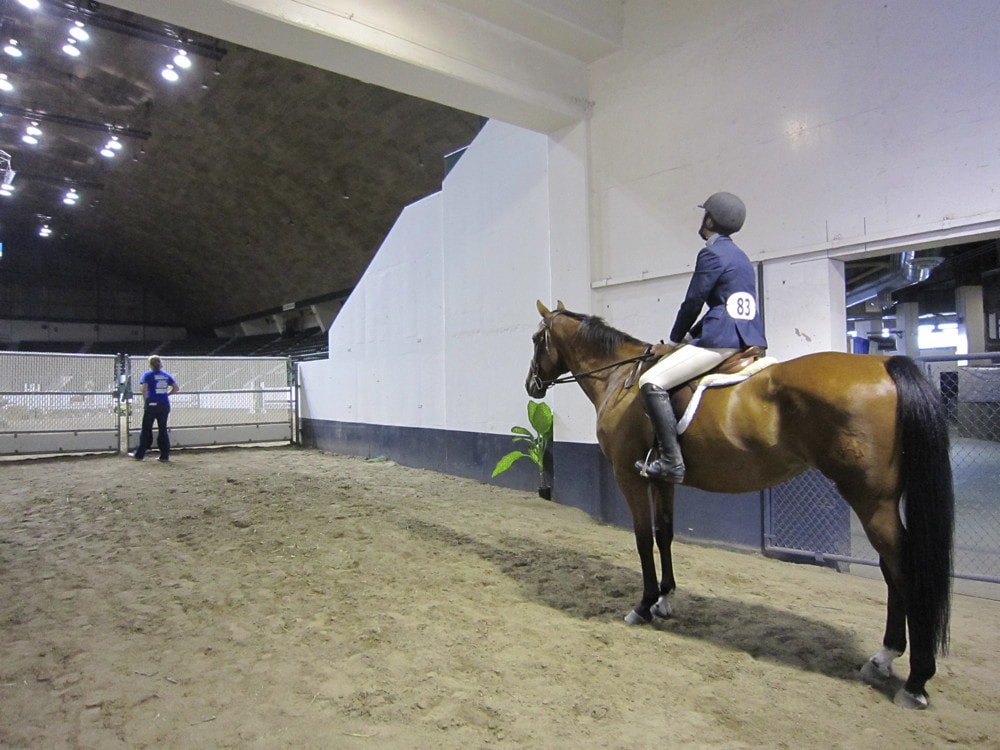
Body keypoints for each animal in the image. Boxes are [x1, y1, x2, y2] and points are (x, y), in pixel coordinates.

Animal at [524, 302, 952, 712]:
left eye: (534, 340)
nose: (531, 386)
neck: (622, 380)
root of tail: (883, 364)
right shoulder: (662, 478)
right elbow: (665, 534)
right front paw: (665, 599)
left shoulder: (630, 478)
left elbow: (644, 540)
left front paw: (643, 606)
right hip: (881, 502)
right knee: (891, 570)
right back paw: (883, 659)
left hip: (870, 500)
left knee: (903, 569)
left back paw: (915, 681)